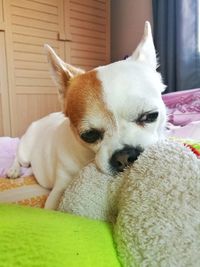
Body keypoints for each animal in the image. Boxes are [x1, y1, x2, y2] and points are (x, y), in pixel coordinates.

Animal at [7, 22, 166, 210]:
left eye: (151, 116)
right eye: (89, 135)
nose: (124, 156)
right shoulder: (59, 189)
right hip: (25, 153)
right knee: (18, 158)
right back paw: (13, 170)